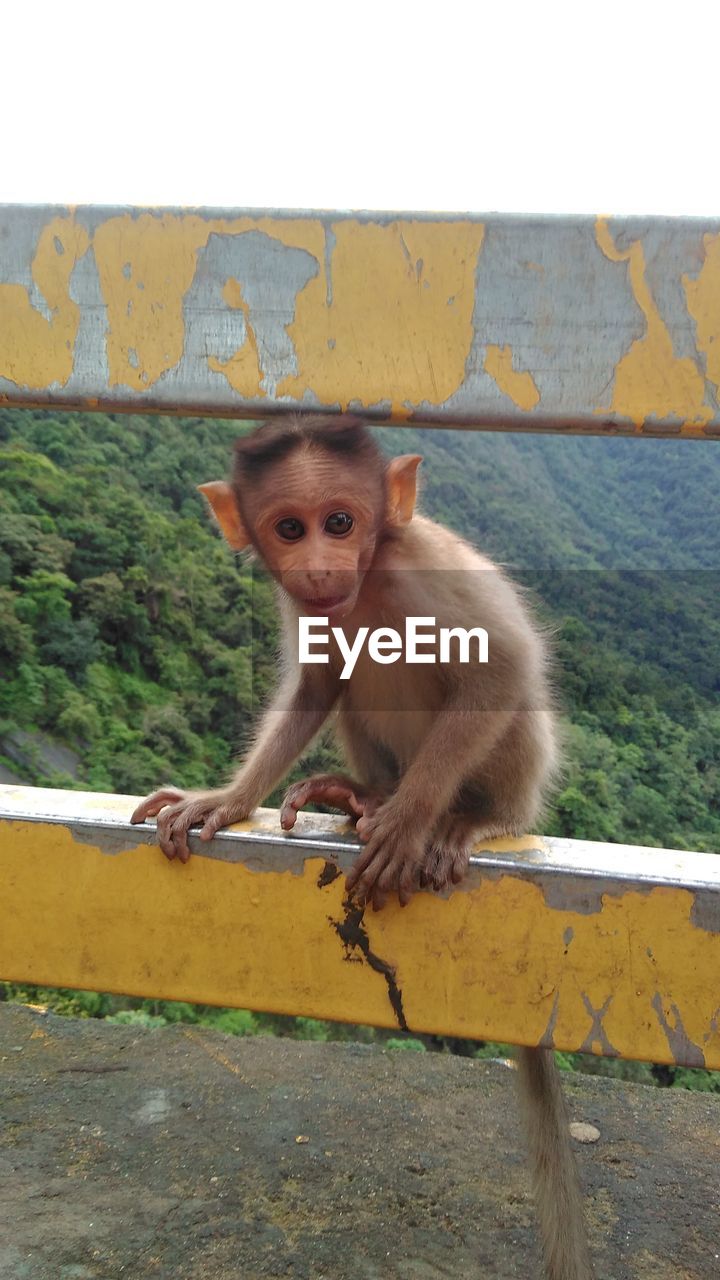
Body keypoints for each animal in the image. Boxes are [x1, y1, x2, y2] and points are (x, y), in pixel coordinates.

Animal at [131, 414, 591, 1274]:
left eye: (341, 522)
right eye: (290, 528)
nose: (319, 564)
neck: (371, 577)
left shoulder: (425, 565)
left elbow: (502, 666)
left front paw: (409, 826)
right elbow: (316, 683)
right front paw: (227, 798)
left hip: (516, 778)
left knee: (490, 692)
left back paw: (458, 819)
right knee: (352, 670)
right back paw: (360, 795)